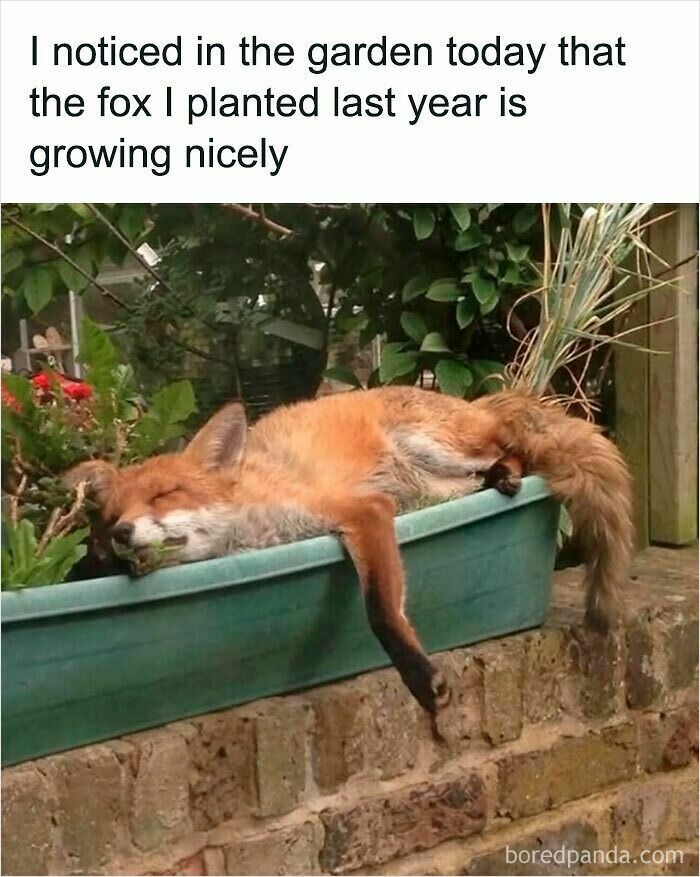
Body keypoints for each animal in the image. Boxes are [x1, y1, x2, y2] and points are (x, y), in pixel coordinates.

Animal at [64, 386, 633, 715]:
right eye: (111, 518)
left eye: (165, 495)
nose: (121, 535)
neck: (254, 530)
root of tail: (471, 400)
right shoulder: (373, 513)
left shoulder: (363, 511)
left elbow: (380, 610)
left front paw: (419, 677)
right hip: (429, 489)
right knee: (494, 467)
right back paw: (499, 478)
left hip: (432, 448)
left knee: (513, 450)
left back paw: (507, 474)